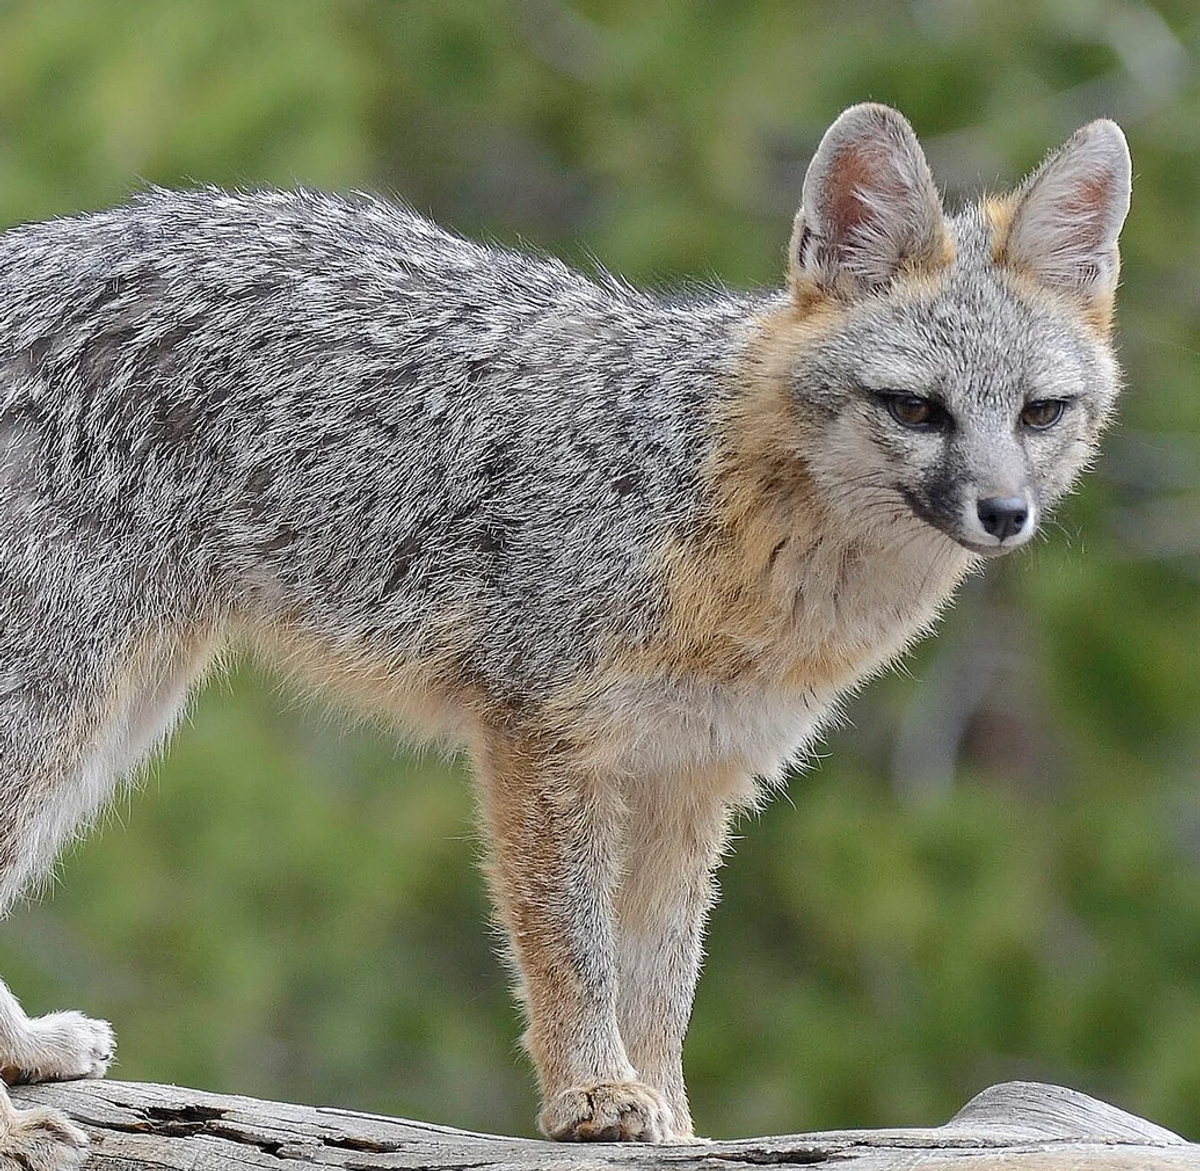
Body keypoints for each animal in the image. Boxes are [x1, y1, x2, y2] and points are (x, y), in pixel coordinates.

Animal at [0, 103, 1130, 1162]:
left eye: (1040, 413)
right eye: (916, 409)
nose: (1004, 513)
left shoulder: (694, 772)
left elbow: (663, 980)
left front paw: (675, 1122)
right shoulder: (545, 735)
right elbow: (572, 947)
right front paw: (594, 1095)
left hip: (122, 711)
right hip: (68, 706)